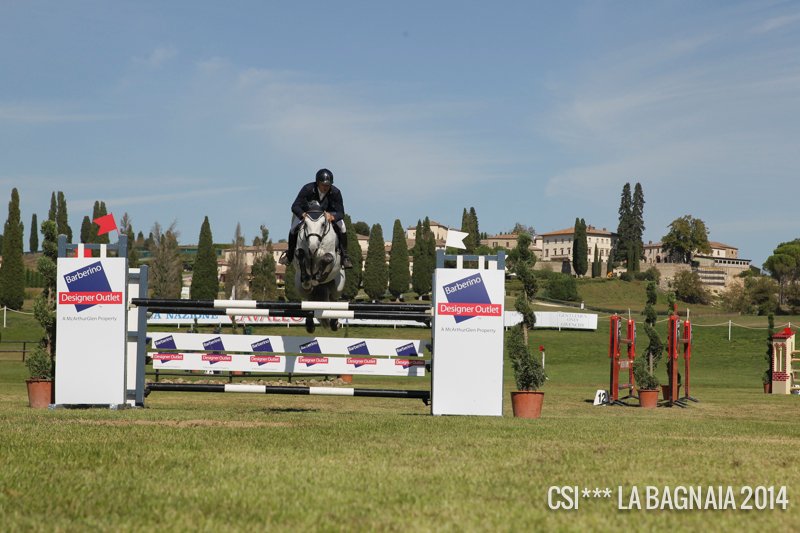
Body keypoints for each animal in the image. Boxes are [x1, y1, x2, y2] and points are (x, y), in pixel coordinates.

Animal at [293, 201, 346, 333]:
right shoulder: (301, 253)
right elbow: (300, 254)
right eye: (306, 224)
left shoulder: (332, 257)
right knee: (308, 300)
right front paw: (307, 278)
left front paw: (317, 277)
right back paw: (310, 325)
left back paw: (334, 323)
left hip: (337, 286)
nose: (312, 248)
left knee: (334, 299)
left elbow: (327, 258)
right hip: (301, 288)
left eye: (322, 224)